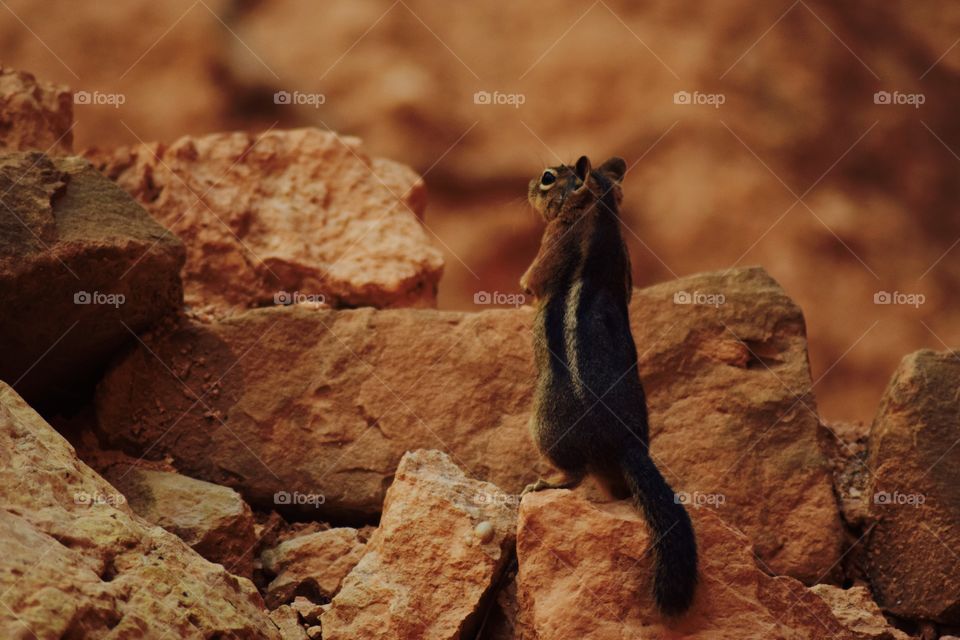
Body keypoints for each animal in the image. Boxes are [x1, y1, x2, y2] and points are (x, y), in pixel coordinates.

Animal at [519, 155, 698, 616]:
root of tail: (627, 442)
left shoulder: (551, 245)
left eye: (548, 178)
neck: (598, 212)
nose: (527, 186)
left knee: (574, 473)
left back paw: (545, 483)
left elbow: (531, 283)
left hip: (543, 427)